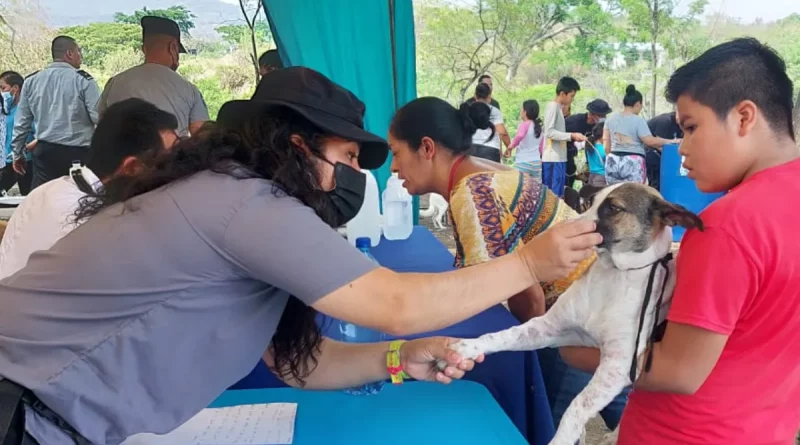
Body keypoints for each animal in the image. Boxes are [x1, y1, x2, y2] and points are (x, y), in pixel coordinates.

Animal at [446, 183, 704, 444]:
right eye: (590, 201)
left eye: (614, 208)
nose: (558, 230)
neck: (613, 275)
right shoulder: (548, 328)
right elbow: (502, 335)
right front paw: (468, 347)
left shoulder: (618, 366)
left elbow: (577, 406)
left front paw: (561, 438)